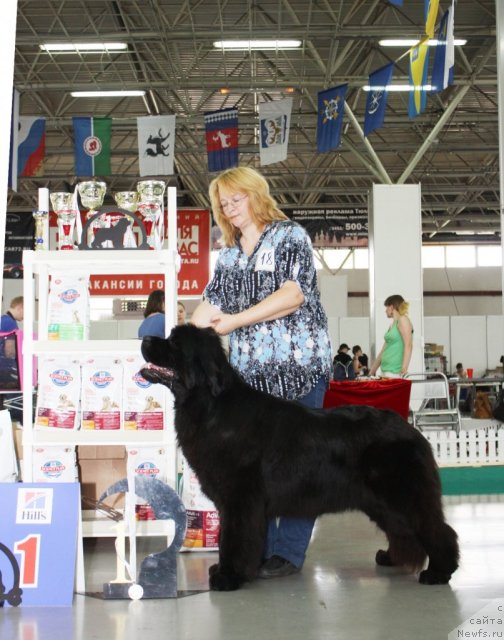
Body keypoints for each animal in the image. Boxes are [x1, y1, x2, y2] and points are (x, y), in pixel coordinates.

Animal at [140, 324, 458, 592]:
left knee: (435, 528)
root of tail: (412, 430)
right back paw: (391, 557)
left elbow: (233, 537)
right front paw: (229, 570)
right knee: (401, 528)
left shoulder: (240, 499)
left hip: (402, 494)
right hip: (380, 502)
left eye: (175, 343)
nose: (144, 338)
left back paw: (439, 572)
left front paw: (228, 576)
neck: (210, 405)